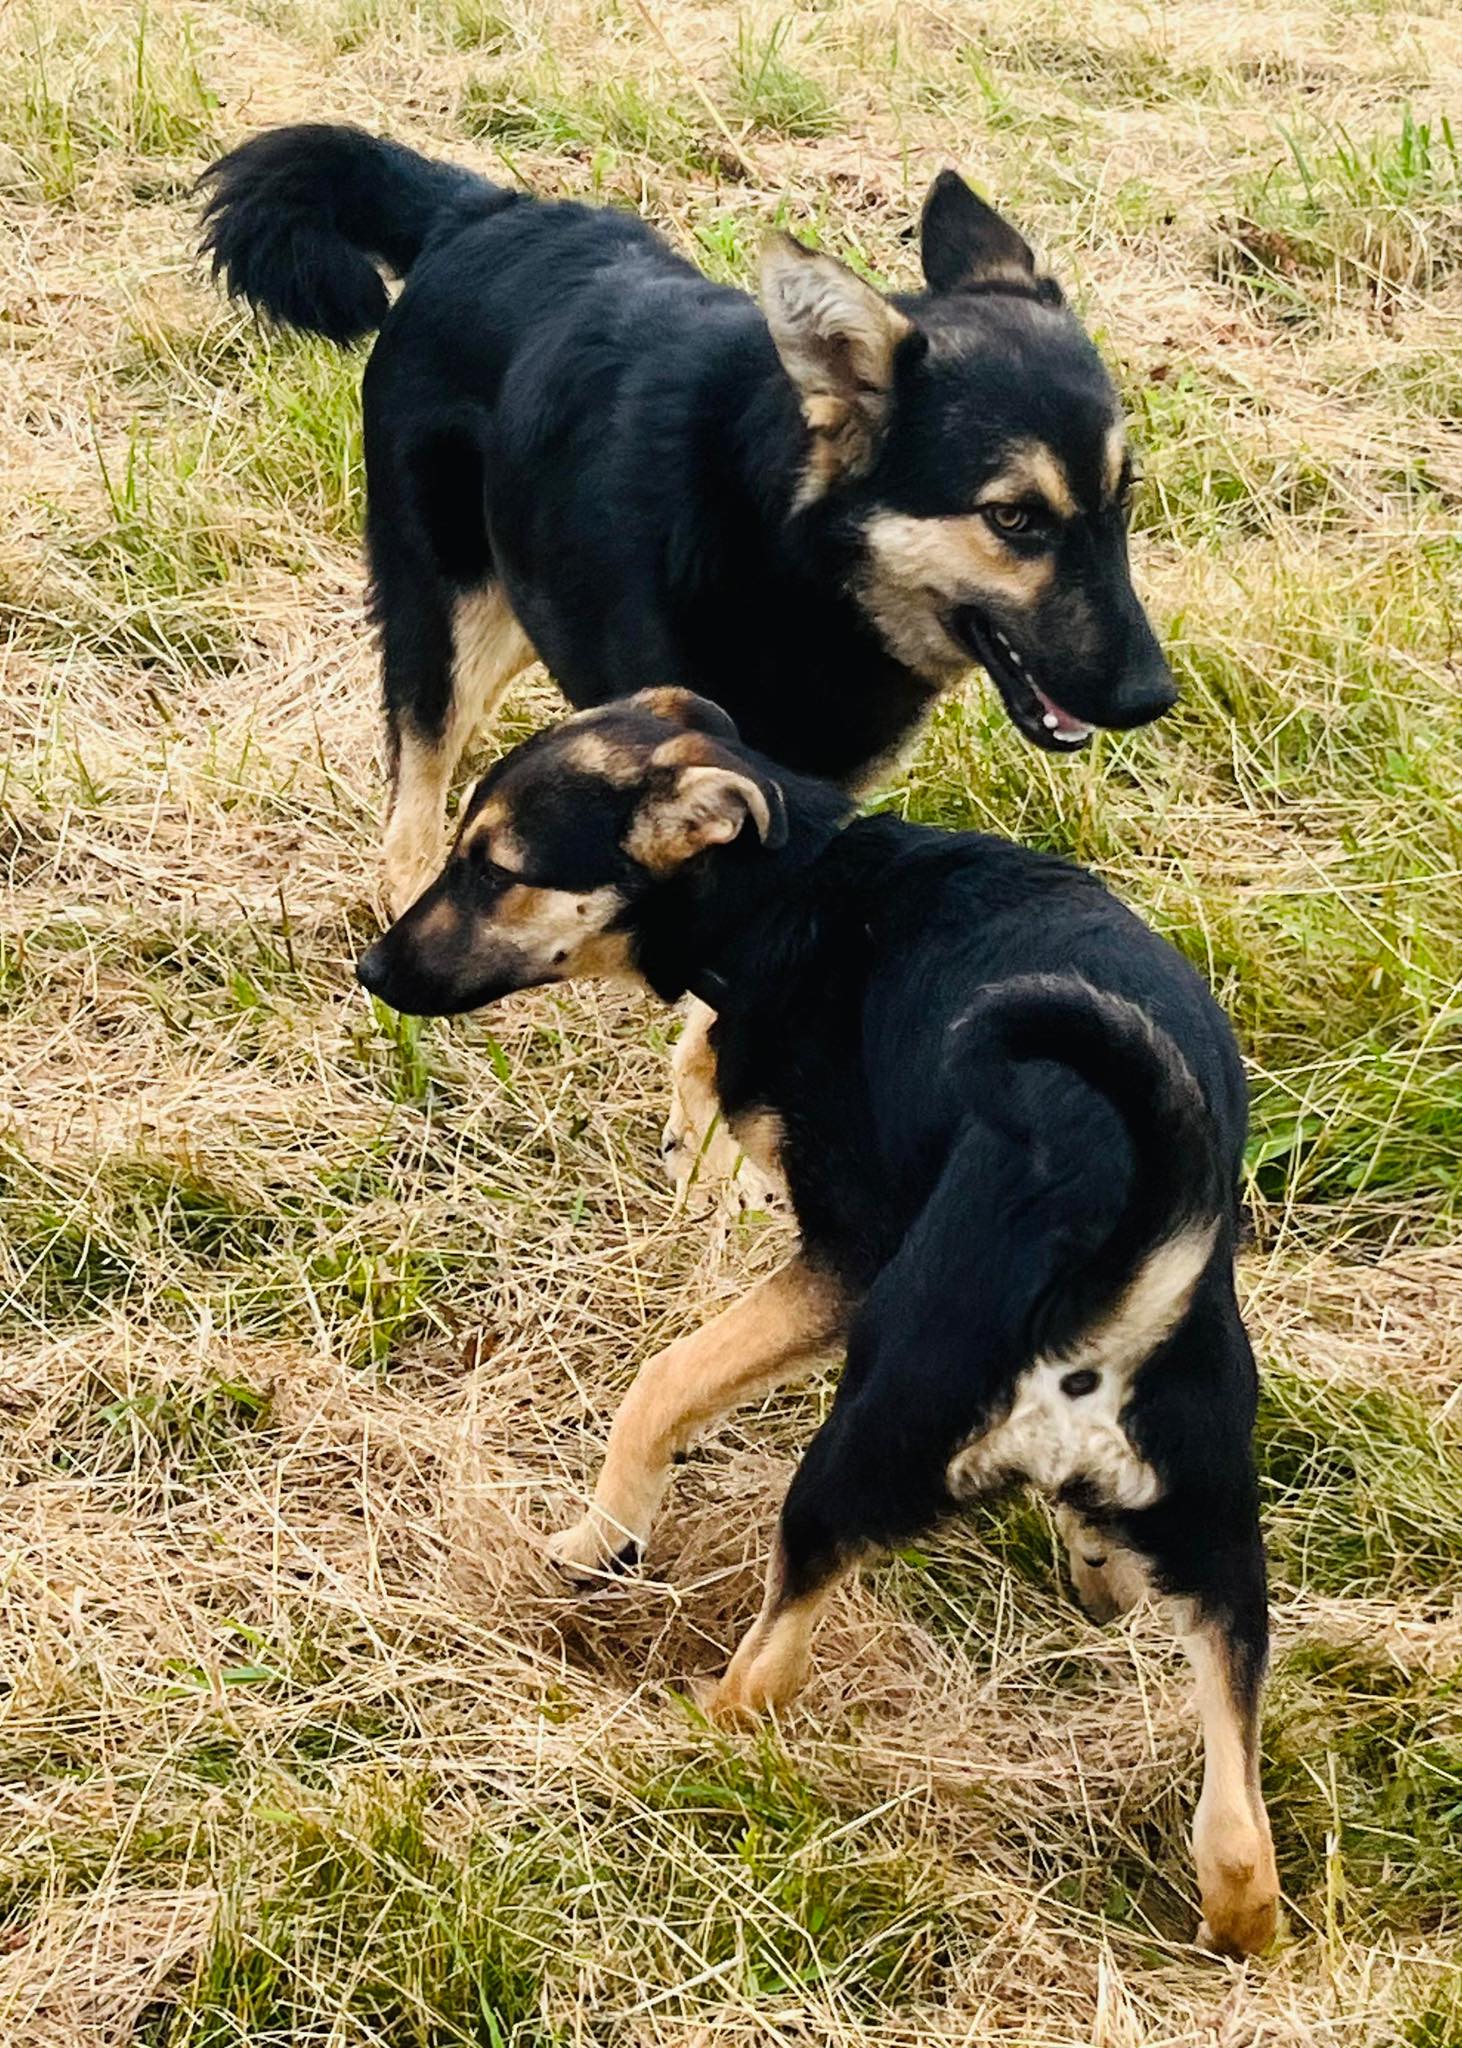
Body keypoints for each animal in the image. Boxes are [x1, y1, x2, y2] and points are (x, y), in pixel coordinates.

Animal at [200, 126, 1176, 915]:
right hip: (444, 611)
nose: (1153, 699)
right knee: (417, 774)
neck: (799, 573)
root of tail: (483, 214)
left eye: (1124, 496)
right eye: (1013, 517)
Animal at [354, 688, 1279, 1959]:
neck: (799, 884)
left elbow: (666, 1377)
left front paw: (600, 1534)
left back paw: (684, 1733)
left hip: (859, 1446)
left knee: (764, 1680)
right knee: (1239, 1844)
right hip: (1224, 1548)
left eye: (495, 868)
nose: (370, 965)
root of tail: (1123, 1256)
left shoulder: (848, 1253)